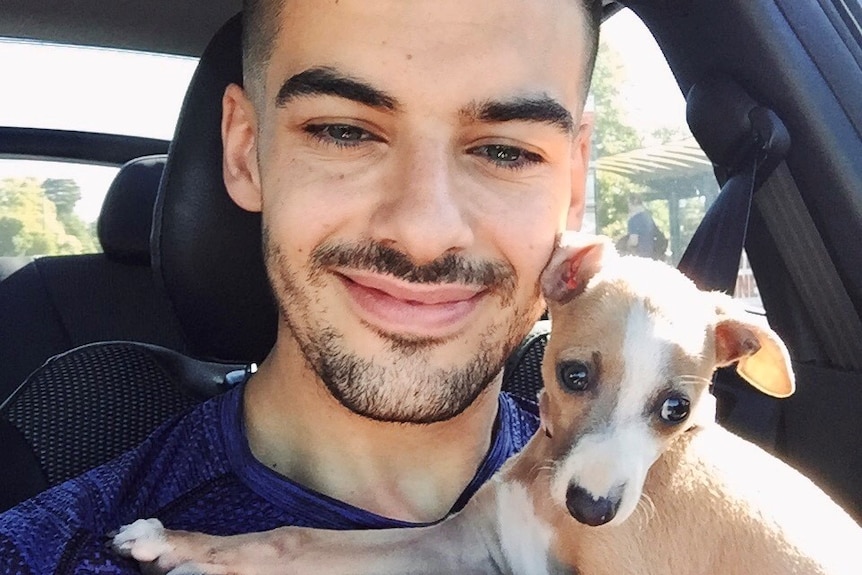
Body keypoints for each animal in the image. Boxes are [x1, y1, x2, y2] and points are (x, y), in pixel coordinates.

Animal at [113, 232, 862, 572]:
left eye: (677, 409)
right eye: (574, 374)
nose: (592, 509)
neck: (545, 487)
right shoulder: (464, 541)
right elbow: (295, 533)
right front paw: (174, 540)